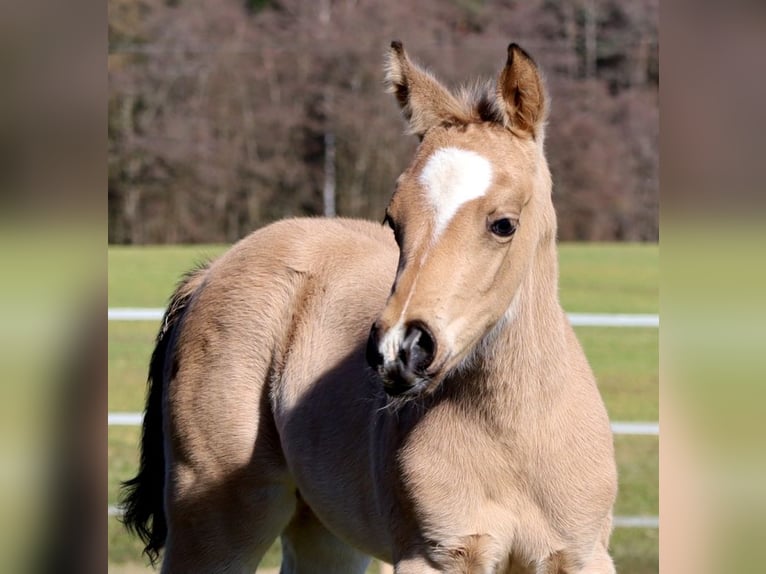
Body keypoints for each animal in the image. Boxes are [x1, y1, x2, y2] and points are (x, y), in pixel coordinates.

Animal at [122, 41, 617, 574]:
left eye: (504, 224)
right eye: (394, 221)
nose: (401, 350)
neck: (516, 438)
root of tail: (211, 270)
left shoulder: (581, 555)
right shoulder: (433, 556)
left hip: (323, 530)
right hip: (213, 517)